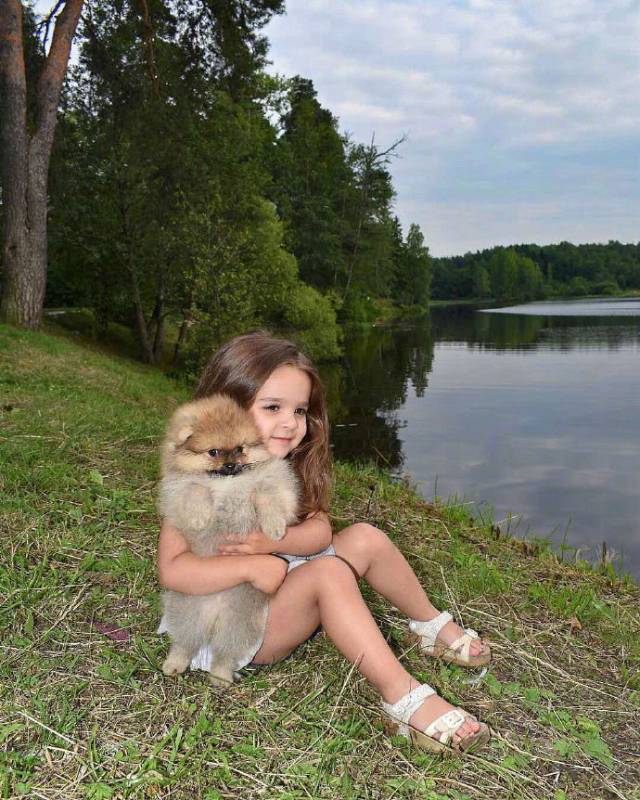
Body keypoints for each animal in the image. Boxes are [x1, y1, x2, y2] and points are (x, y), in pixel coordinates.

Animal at [160, 394, 300, 680]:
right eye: (213, 452)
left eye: (240, 448)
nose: (230, 465)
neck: (227, 482)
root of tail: (215, 615)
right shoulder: (177, 488)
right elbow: (195, 488)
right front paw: (200, 517)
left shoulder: (271, 480)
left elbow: (268, 494)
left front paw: (274, 526)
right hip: (187, 611)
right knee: (184, 642)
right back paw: (175, 663)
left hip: (241, 622)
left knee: (226, 651)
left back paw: (221, 676)